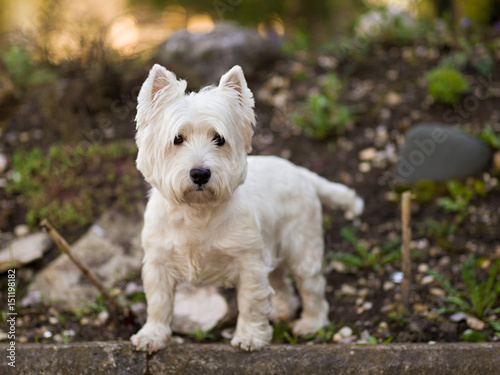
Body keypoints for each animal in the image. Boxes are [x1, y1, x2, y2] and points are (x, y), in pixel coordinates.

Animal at [131, 63, 362, 354]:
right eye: (177, 139)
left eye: (219, 139)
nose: (200, 174)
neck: (197, 210)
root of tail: (300, 172)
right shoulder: (158, 262)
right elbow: (158, 302)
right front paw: (152, 335)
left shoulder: (249, 261)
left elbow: (250, 302)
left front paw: (250, 337)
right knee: (280, 281)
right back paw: (282, 312)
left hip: (300, 243)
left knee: (311, 283)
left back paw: (311, 323)